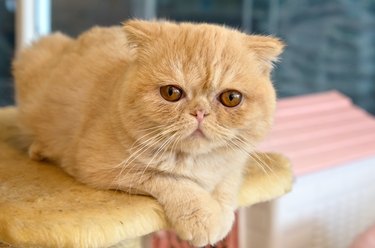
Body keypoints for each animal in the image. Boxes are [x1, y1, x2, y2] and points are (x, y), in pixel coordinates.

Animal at [12, 19, 284, 246]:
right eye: (171, 93)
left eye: (231, 98)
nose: (200, 112)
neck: (196, 163)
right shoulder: (101, 167)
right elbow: (174, 181)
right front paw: (204, 216)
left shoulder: (235, 161)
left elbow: (227, 184)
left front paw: (223, 214)